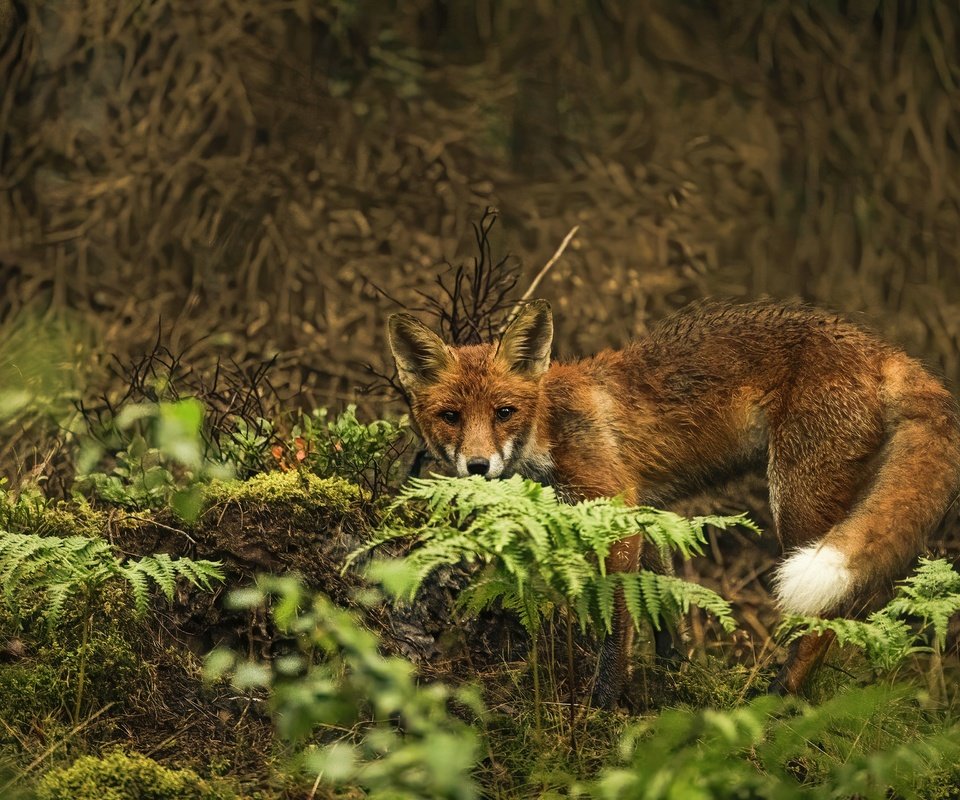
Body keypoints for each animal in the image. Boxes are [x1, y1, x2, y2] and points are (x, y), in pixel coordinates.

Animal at [384, 300, 960, 708]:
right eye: (451, 416)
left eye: (504, 412)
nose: (478, 466)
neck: (548, 425)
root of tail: (882, 349)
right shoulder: (645, 514)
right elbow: (663, 611)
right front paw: (670, 684)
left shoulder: (616, 517)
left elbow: (616, 631)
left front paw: (602, 710)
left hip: (797, 503)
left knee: (831, 617)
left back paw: (776, 700)